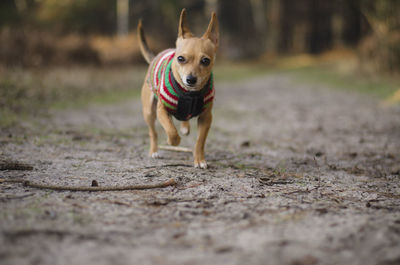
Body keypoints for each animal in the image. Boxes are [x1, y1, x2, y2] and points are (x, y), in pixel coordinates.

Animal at [138, 9, 219, 169]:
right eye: (180, 59)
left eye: (205, 61)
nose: (191, 79)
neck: (190, 95)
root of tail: (154, 56)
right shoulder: (162, 110)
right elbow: (171, 130)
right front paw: (172, 141)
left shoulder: (206, 117)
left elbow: (200, 141)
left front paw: (199, 159)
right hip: (149, 112)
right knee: (153, 132)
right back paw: (154, 151)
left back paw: (185, 127)